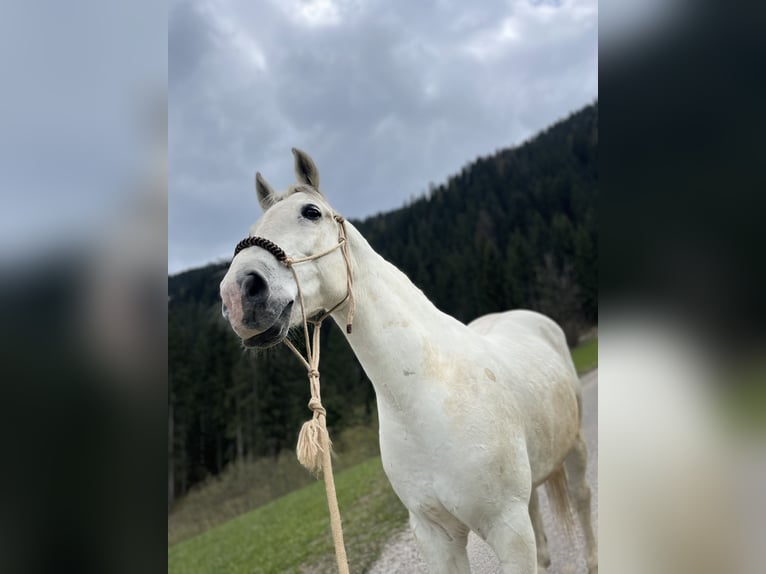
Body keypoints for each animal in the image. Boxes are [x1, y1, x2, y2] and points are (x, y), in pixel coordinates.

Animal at [219, 151, 596, 572]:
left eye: (311, 212)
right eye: (253, 228)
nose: (239, 293)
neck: (428, 394)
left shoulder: (507, 528)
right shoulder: (436, 536)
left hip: (575, 449)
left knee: (582, 500)